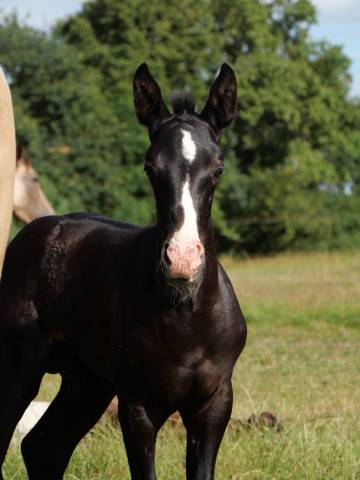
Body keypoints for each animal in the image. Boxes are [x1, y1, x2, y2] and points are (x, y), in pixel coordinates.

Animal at [0, 64, 248, 480]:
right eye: (150, 168)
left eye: (218, 168)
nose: (182, 259)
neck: (186, 315)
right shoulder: (138, 406)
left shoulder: (213, 405)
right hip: (21, 370)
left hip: (87, 383)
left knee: (43, 447)